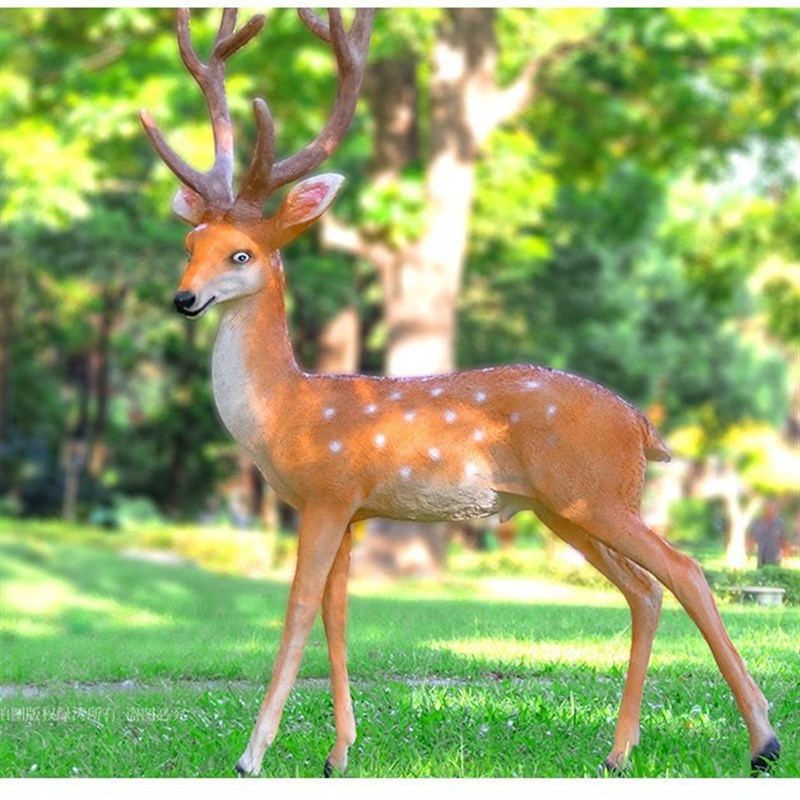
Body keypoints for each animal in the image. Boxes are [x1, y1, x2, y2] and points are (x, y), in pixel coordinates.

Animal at [140, 7, 781, 778]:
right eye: (190, 246)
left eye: (242, 254)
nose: (184, 299)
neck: (287, 412)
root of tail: (642, 425)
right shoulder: (351, 508)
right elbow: (337, 617)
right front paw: (339, 752)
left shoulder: (327, 493)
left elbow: (295, 613)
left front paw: (253, 754)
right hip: (564, 507)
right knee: (645, 590)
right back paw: (620, 751)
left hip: (594, 494)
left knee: (686, 570)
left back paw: (762, 740)